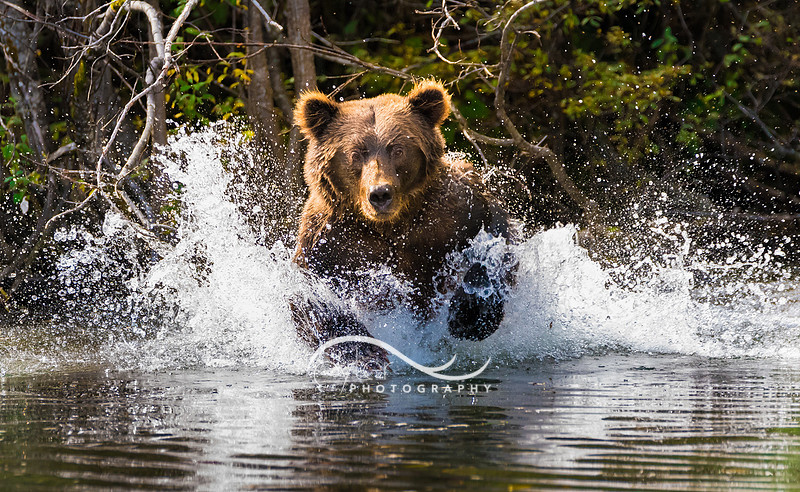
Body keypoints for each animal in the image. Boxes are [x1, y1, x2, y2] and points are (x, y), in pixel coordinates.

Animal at [291, 80, 515, 363]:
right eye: (356, 153)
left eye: (397, 149)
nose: (380, 194)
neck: (391, 224)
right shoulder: (329, 240)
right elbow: (309, 296)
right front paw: (363, 351)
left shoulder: (453, 214)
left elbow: (497, 244)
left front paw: (469, 316)